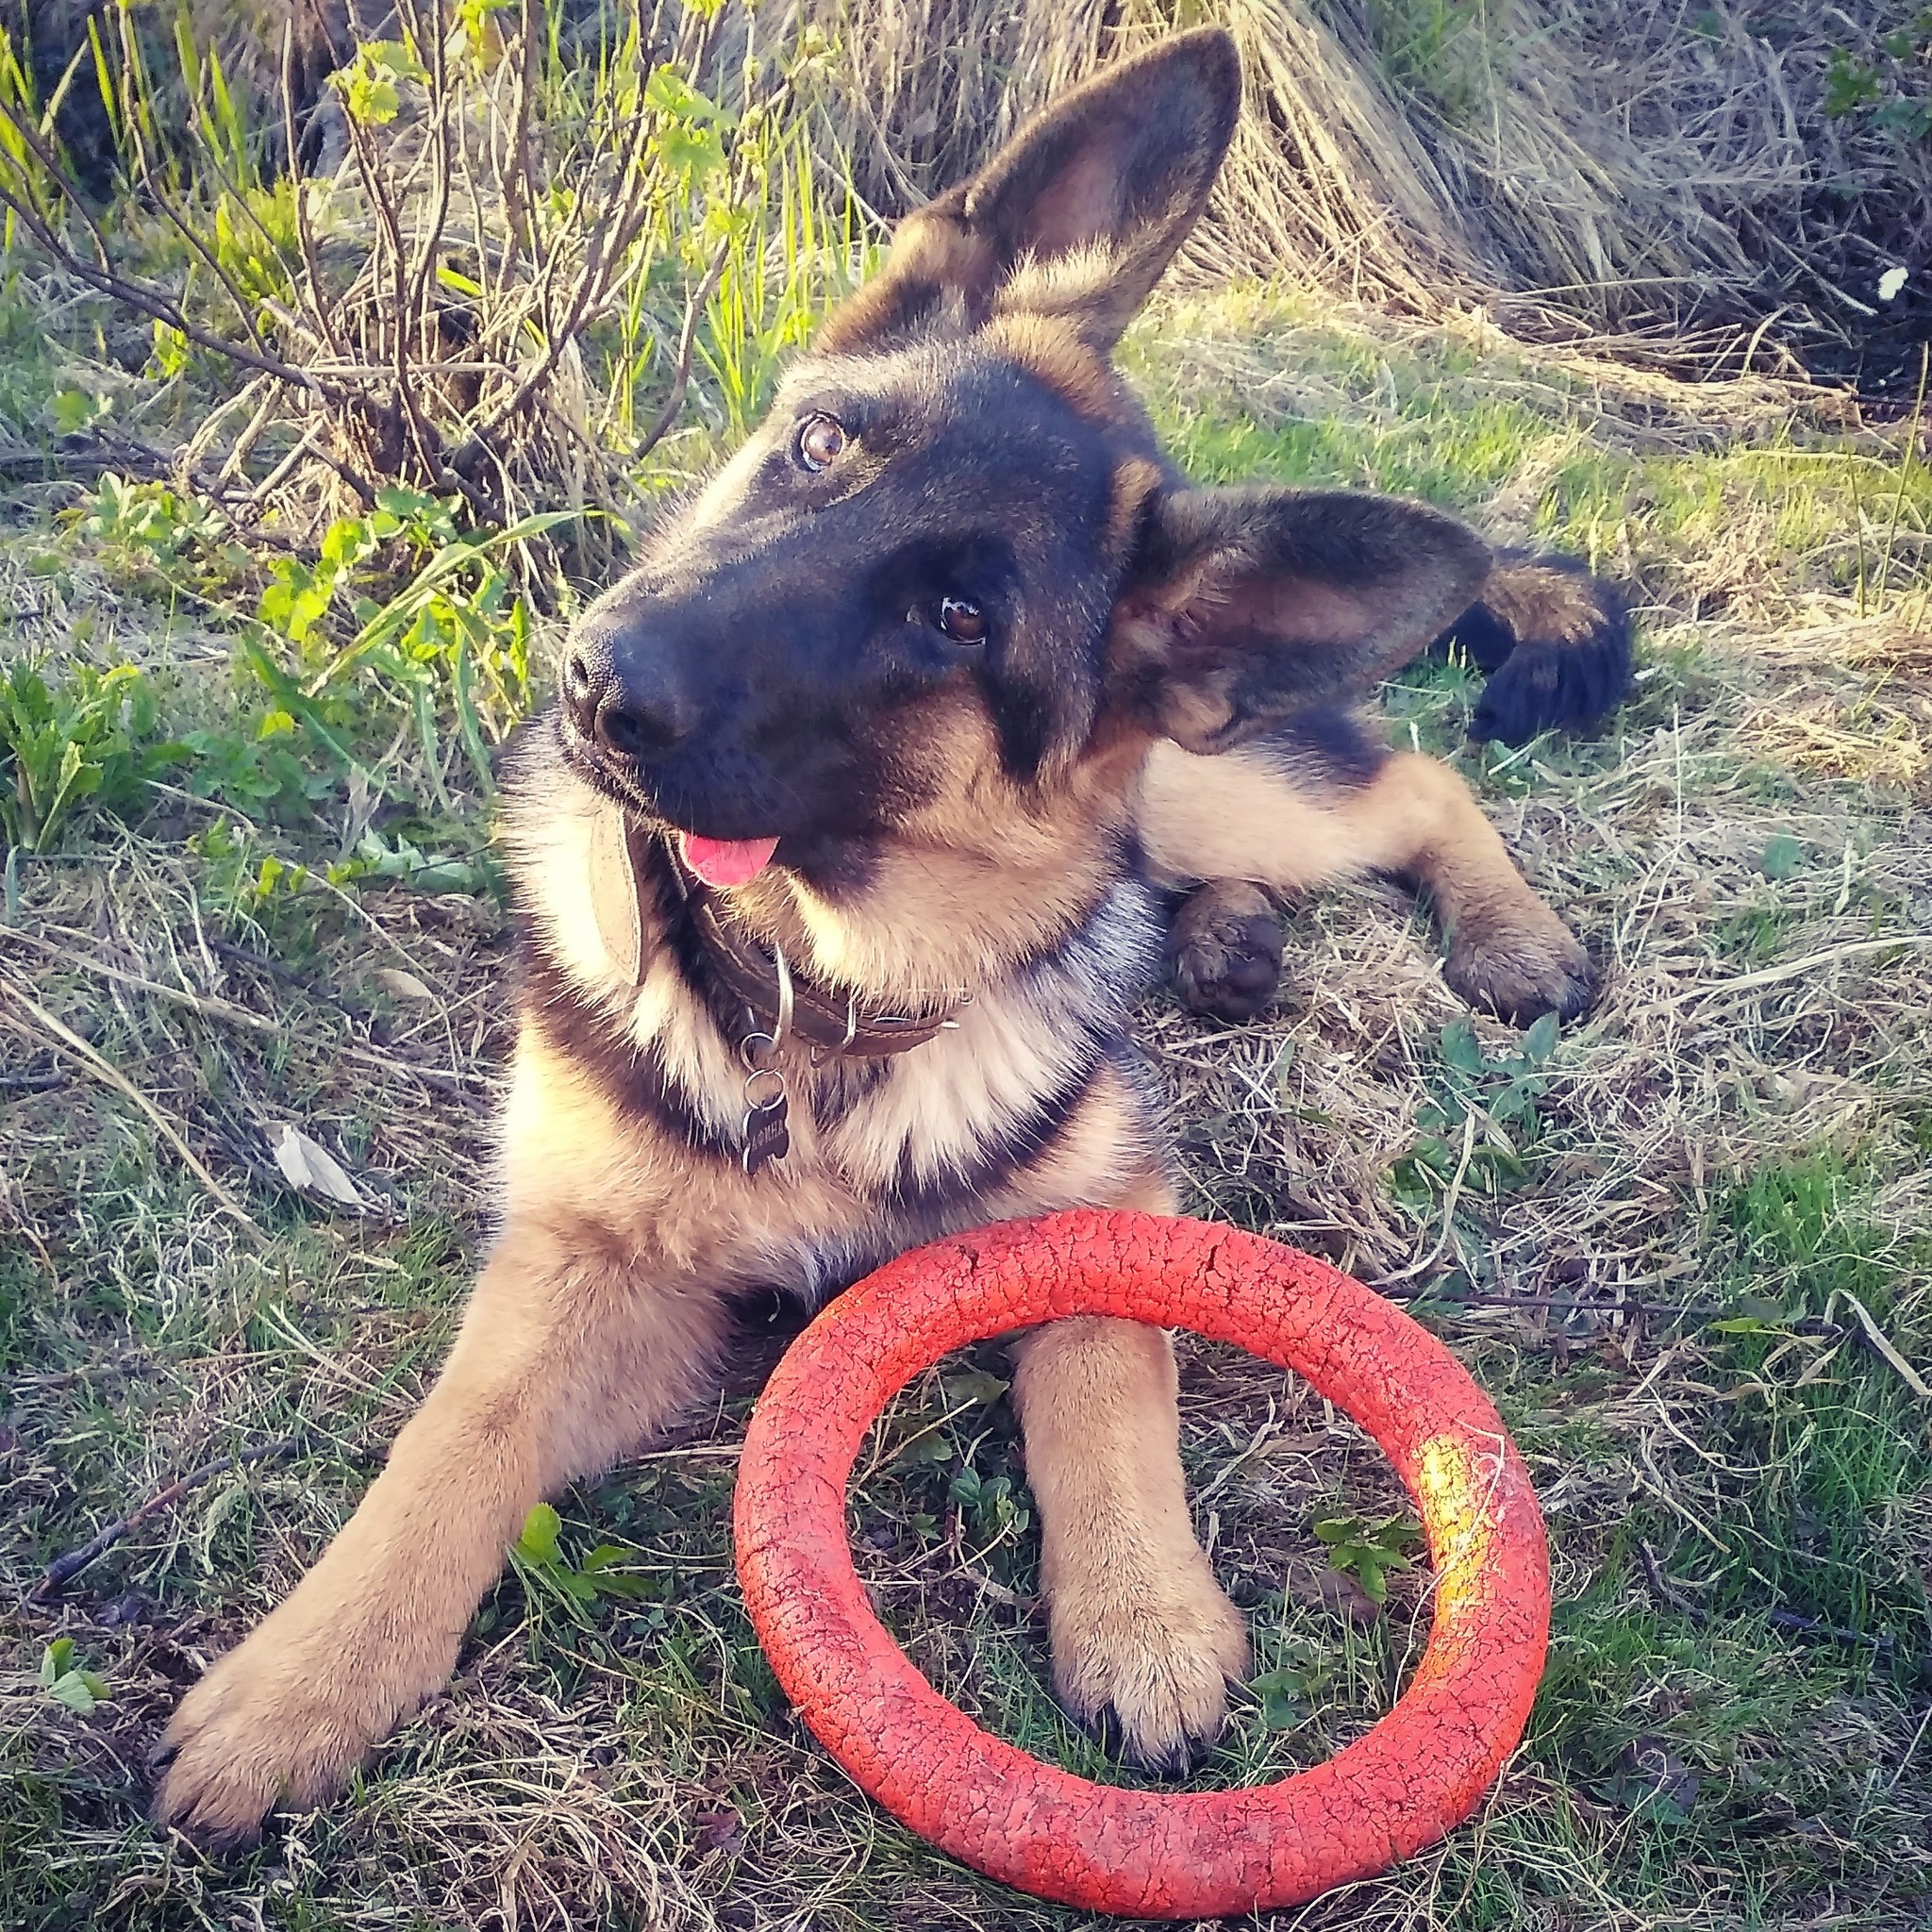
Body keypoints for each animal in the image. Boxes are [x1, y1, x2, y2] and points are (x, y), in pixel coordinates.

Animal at [154, 26, 1630, 1839]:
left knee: (1407, 782)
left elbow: (1108, 1381)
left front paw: (1144, 1615)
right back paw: (1227, 948)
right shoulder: (583, 1268)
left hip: (1204, 782)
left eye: (956, 617)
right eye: (819, 447)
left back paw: (1502, 933)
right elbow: (455, 1440)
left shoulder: (1105, 1209)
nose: (596, 680)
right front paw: (296, 1685)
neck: (815, 993)